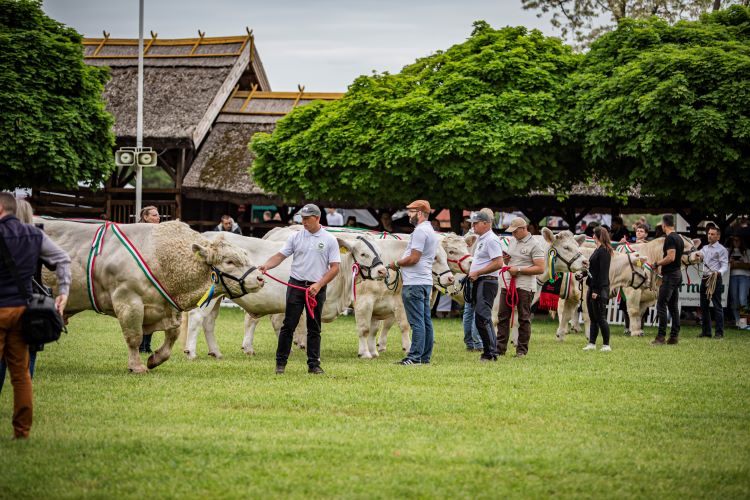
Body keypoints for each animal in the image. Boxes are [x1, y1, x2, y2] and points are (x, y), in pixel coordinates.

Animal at [41, 219, 266, 372]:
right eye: (229, 261)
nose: (260, 277)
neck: (159, 257)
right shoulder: (128, 301)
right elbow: (134, 337)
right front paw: (137, 366)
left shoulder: (167, 307)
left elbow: (173, 335)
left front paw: (155, 359)